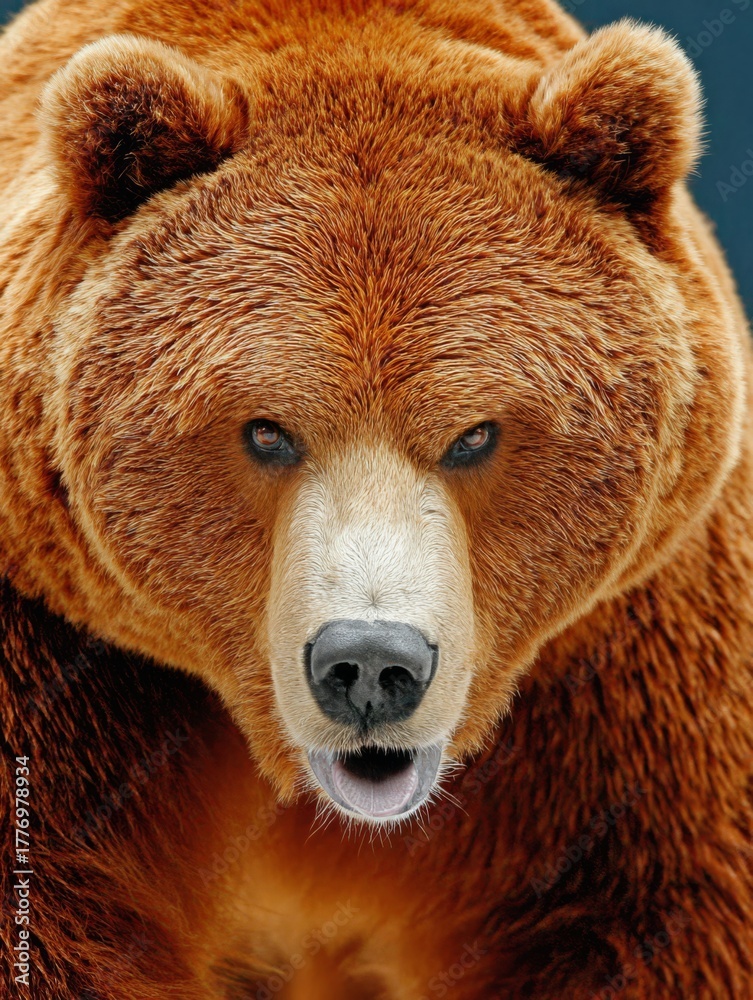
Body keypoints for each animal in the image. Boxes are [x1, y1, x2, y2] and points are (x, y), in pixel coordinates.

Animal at [1, 0, 752, 997]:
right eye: (267, 430)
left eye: (473, 434)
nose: (367, 664)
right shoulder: (53, 657)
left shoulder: (620, 676)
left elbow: (646, 912)